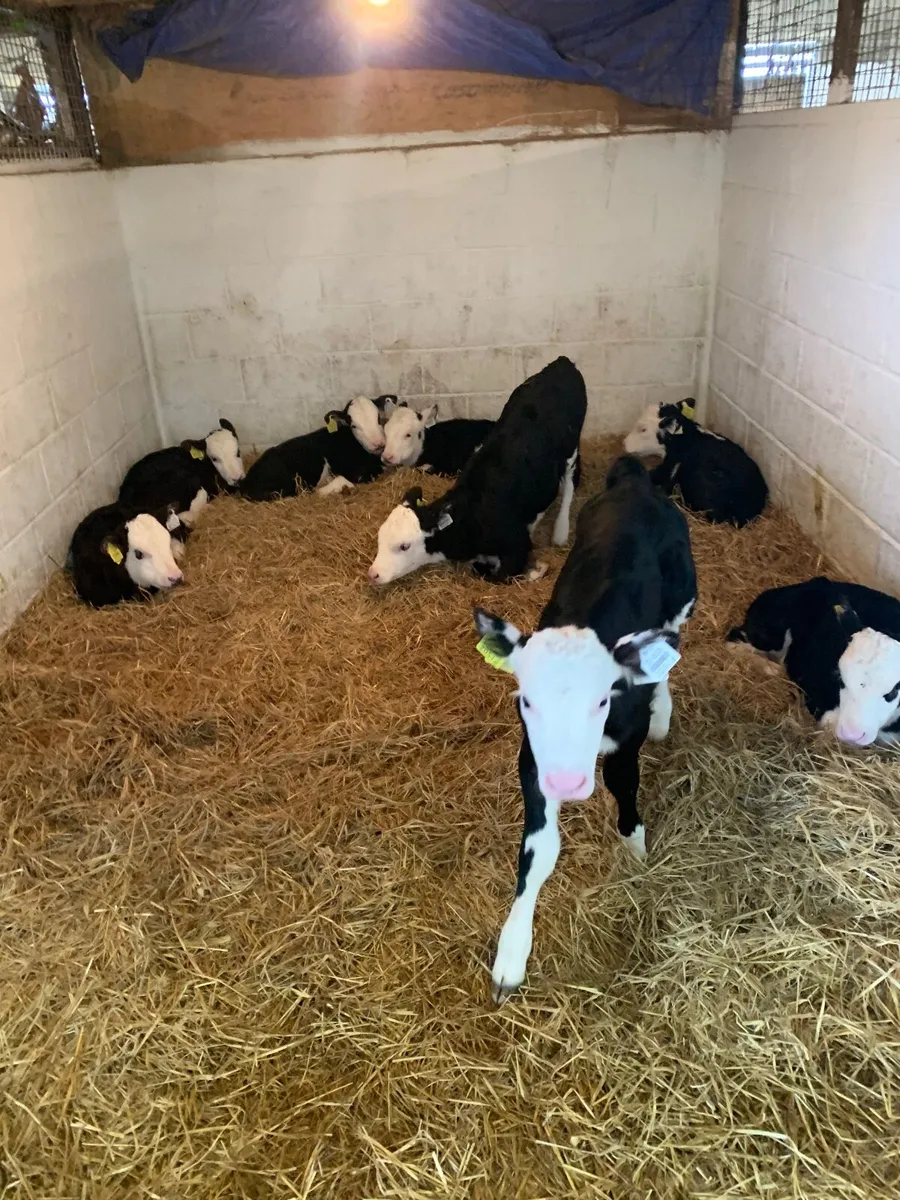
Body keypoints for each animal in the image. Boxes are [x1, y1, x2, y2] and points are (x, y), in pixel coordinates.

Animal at [368, 357, 586, 586]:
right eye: (380, 538)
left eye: (404, 546)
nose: (373, 573)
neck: (472, 515)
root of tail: (561, 362)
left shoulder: (518, 546)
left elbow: (498, 576)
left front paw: (537, 571)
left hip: (571, 449)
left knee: (569, 484)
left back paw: (560, 531)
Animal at [472, 455, 697, 1003]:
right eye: (527, 700)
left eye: (603, 699)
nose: (567, 782)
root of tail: (636, 481)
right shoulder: (532, 759)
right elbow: (539, 852)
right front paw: (512, 953)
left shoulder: (625, 737)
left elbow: (623, 782)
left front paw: (635, 846)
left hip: (684, 598)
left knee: (669, 649)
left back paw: (663, 710)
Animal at [727, 577, 900, 747]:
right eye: (841, 680)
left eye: (893, 691)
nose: (851, 734)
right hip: (770, 634)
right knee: (734, 640)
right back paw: (772, 668)